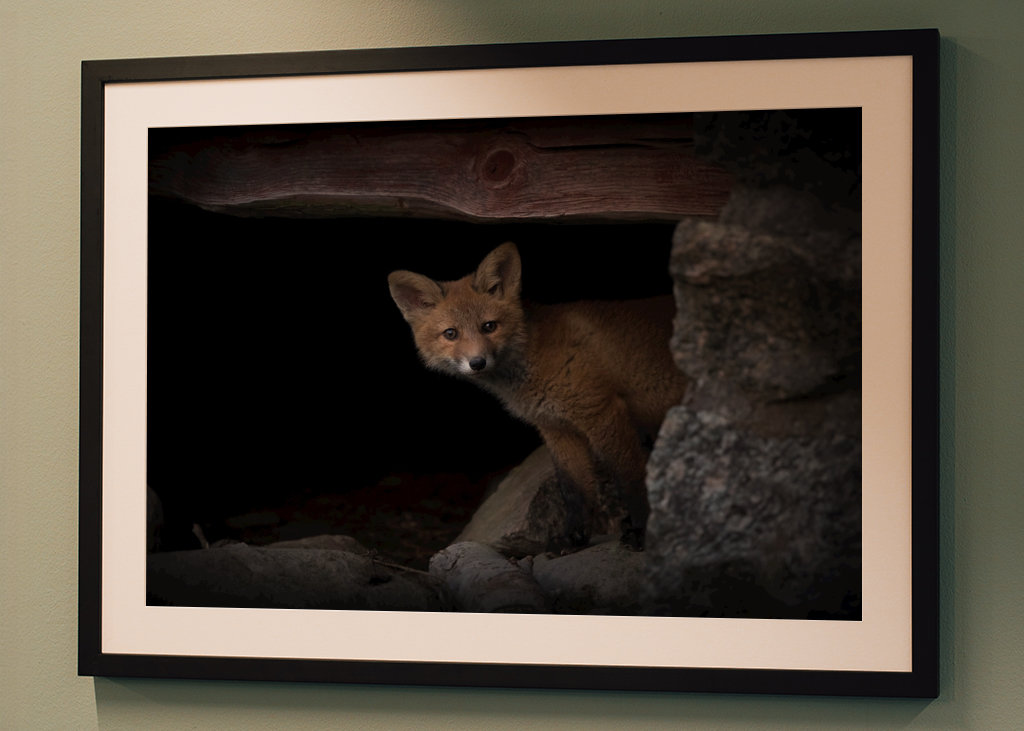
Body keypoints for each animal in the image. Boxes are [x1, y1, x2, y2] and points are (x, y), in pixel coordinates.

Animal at [387, 243, 688, 547]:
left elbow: (630, 479)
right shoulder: (556, 428)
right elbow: (575, 490)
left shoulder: (602, 413)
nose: (477, 362)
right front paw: (572, 539)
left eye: (489, 326)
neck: (534, 361)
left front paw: (641, 531)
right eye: (451, 333)